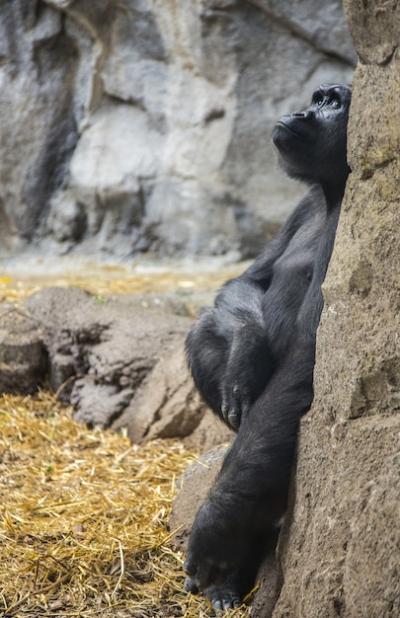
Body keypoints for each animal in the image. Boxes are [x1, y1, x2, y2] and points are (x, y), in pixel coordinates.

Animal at [184, 84, 350, 608]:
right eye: (316, 97)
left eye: (332, 103)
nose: (301, 110)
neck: (331, 189)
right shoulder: (303, 204)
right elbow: (248, 281)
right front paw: (248, 351)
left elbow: (308, 360)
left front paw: (218, 524)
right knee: (205, 332)